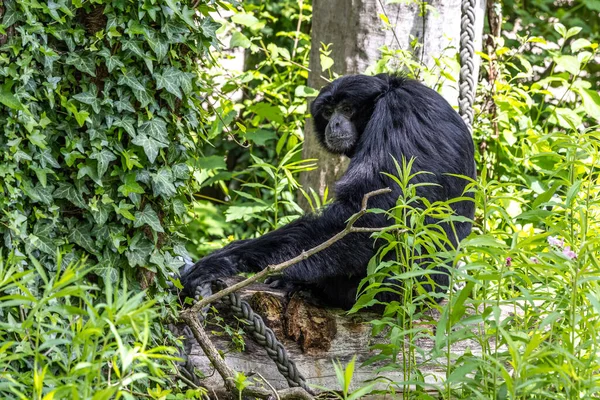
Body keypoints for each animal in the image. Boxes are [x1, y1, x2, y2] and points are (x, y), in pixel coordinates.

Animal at [180, 74, 476, 310]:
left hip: (387, 288)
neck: (389, 90)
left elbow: (369, 214)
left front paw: (222, 260)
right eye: (328, 112)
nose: (334, 124)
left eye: (346, 109)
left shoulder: (398, 112)